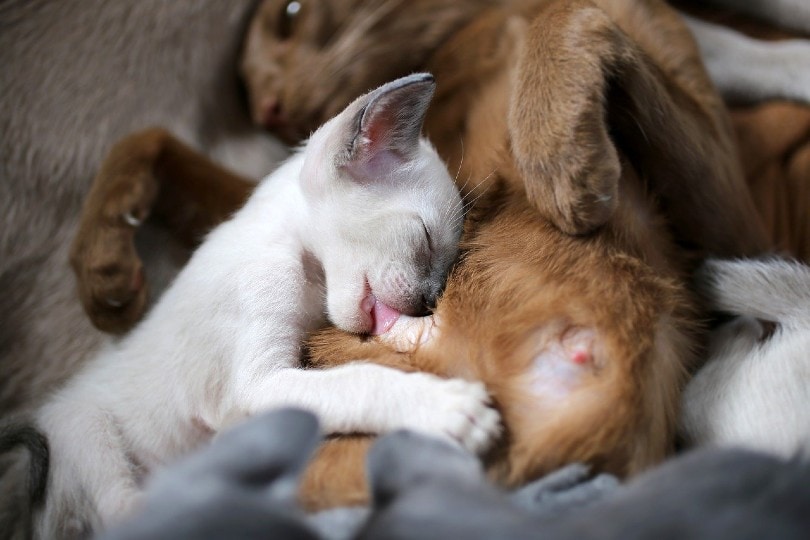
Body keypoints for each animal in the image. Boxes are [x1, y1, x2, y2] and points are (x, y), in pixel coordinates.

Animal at [20, 74, 498, 536]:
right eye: (426, 238)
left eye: (446, 264)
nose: (429, 301)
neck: (308, 275)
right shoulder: (260, 383)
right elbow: (360, 381)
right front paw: (449, 408)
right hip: (88, 432)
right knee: (126, 512)